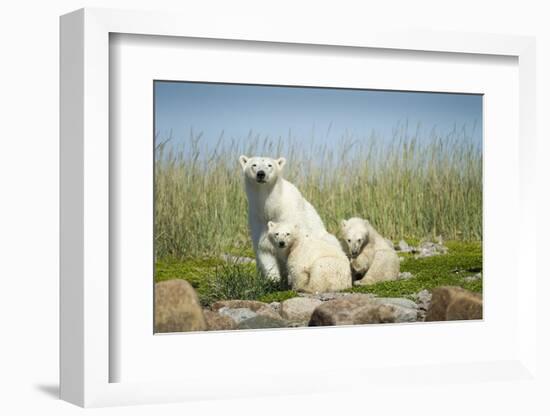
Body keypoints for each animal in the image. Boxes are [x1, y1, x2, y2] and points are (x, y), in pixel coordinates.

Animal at [240, 154, 340, 282]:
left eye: (269, 165)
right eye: (254, 165)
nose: (261, 174)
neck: (272, 208)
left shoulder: (291, 217)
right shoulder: (258, 220)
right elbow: (265, 250)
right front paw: (274, 280)